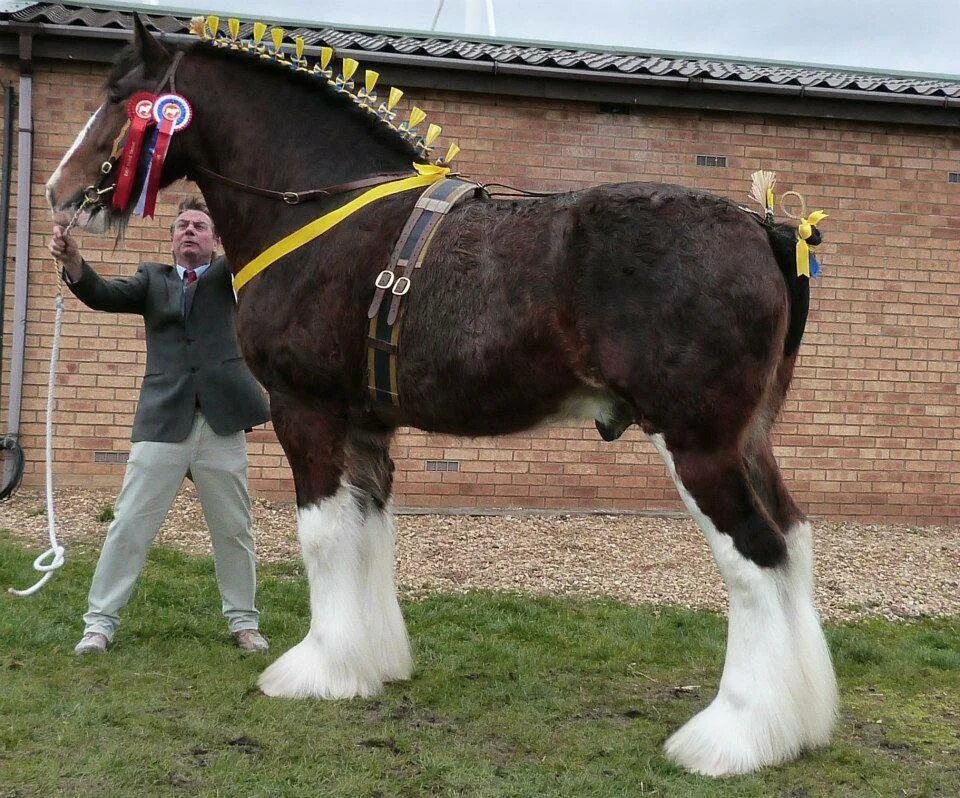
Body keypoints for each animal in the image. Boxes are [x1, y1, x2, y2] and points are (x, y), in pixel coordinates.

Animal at [48, 18, 836, 780]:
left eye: (122, 97)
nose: (61, 192)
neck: (323, 214)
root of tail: (766, 228)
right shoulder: (367, 428)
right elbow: (367, 532)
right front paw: (368, 665)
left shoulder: (308, 411)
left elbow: (321, 536)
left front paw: (315, 670)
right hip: (749, 440)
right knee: (793, 542)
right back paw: (799, 727)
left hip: (697, 443)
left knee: (756, 558)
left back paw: (732, 738)